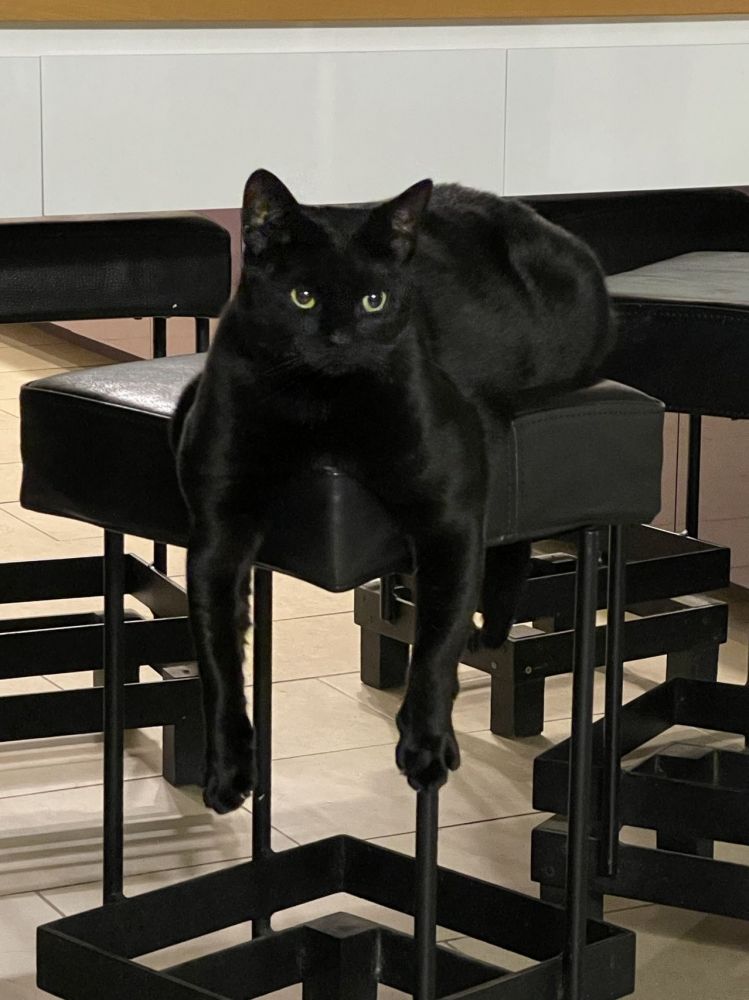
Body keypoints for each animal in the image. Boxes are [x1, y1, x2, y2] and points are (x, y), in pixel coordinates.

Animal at [171, 169, 613, 814]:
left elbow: (434, 647)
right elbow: (219, 661)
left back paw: (491, 635)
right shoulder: (219, 530)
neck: (323, 408)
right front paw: (227, 769)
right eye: (303, 297)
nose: (339, 337)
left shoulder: (449, 515)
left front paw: (426, 750)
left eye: (373, 301)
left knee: (512, 532)